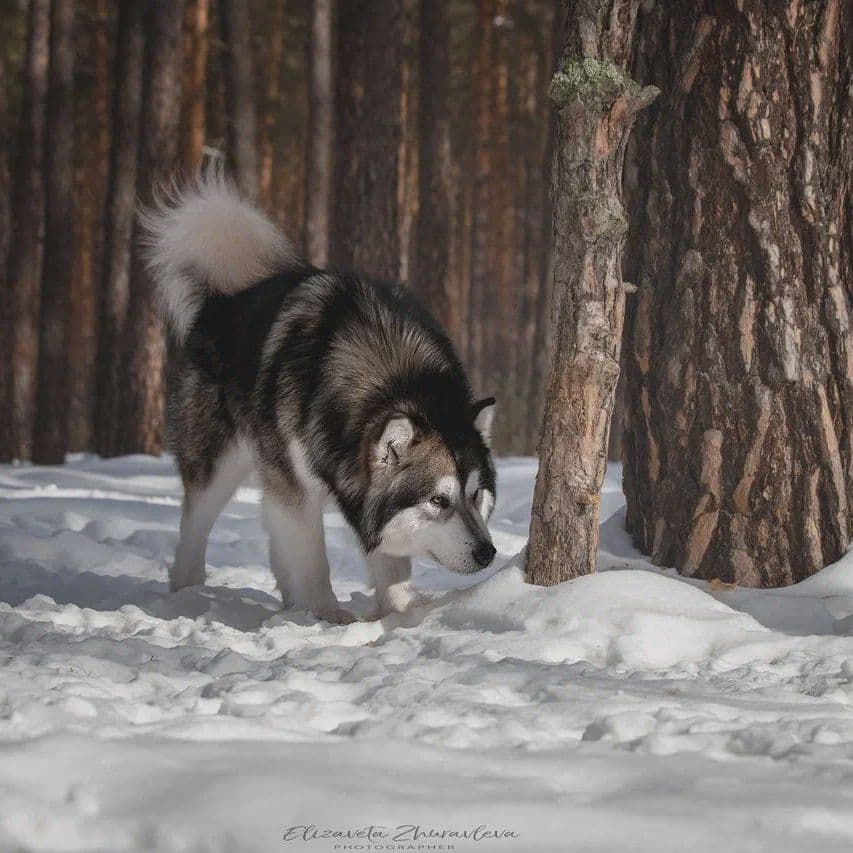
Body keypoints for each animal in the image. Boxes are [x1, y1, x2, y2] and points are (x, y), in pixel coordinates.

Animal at [142, 175, 496, 624]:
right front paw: (327, 615)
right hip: (218, 465)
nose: (488, 553)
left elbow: (389, 563)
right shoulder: (296, 489)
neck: (391, 375)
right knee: (195, 530)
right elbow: (313, 558)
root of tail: (225, 299)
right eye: (438, 500)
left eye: (475, 494)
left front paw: (399, 617)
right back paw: (189, 594)